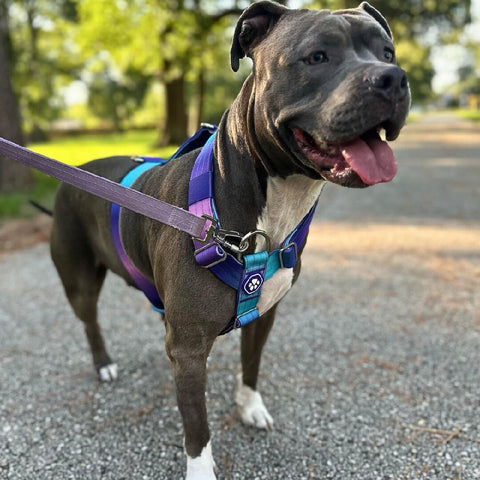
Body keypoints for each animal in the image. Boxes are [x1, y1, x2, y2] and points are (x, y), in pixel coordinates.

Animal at [48, 1, 408, 478]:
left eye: (387, 52)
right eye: (317, 57)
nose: (394, 78)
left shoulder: (263, 316)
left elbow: (250, 366)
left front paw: (250, 407)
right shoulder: (187, 350)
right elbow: (196, 427)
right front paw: (201, 468)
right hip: (78, 280)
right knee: (89, 321)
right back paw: (104, 364)